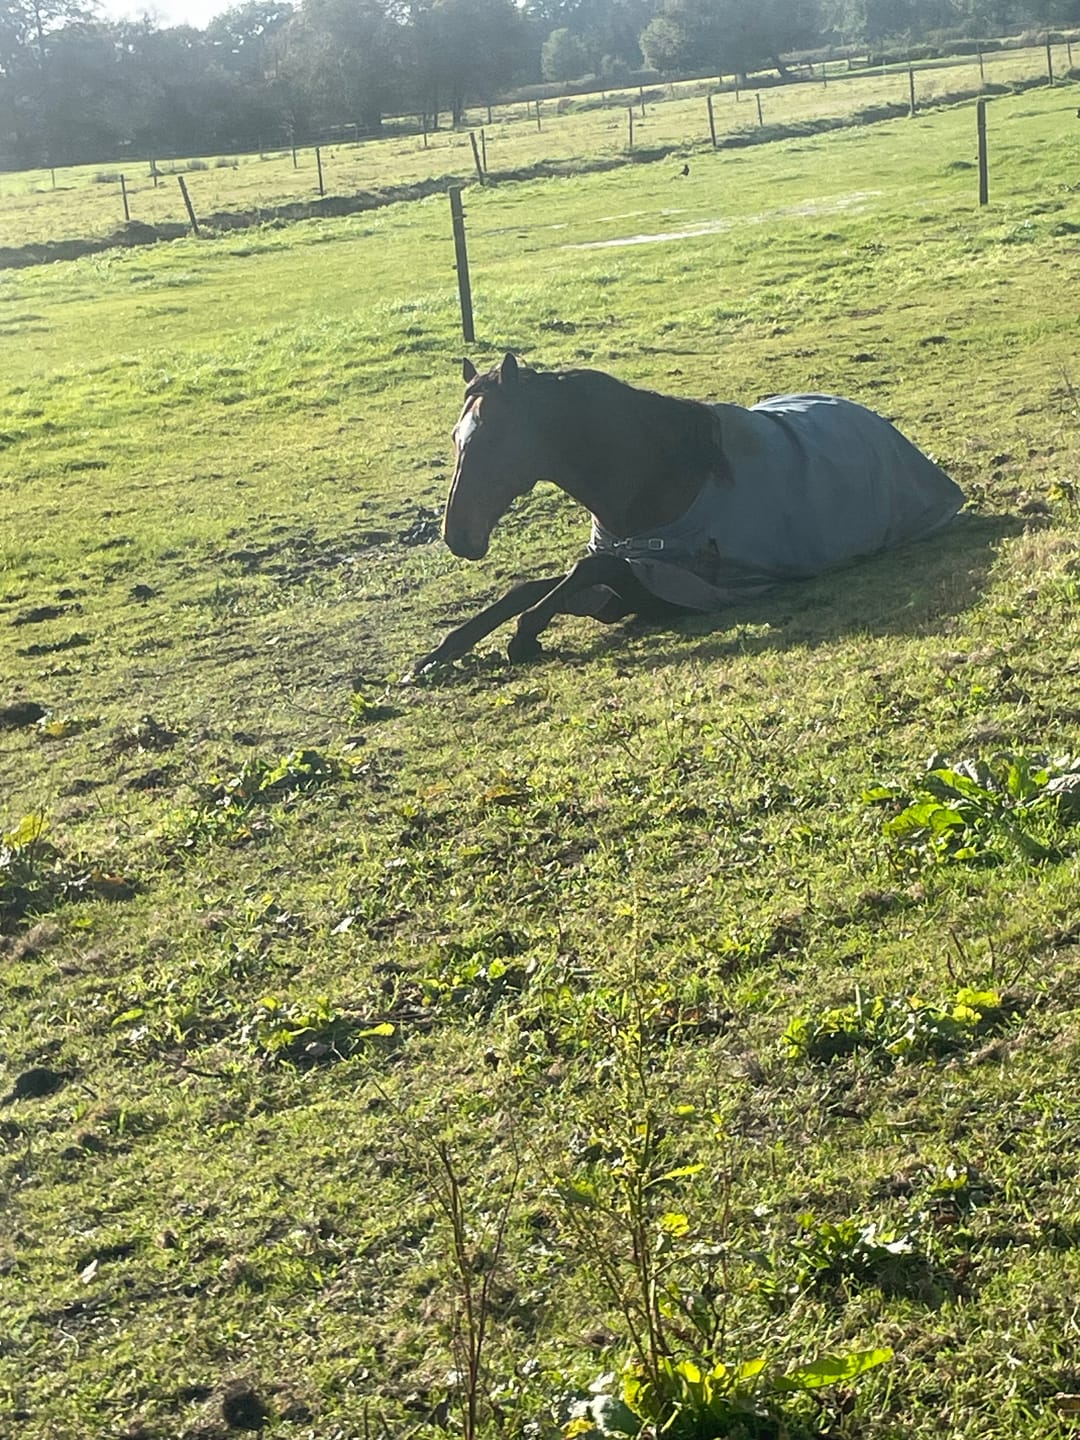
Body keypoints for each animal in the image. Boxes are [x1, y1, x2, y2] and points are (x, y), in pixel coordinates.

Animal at [410, 353, 964, 674]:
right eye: (456, 438)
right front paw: (439, 654)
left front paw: (524, 638)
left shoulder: (664, 586)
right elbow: (531, 586)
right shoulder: (619, 588)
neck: (661, 477)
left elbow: (585, 568)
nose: (458, 536)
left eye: (494, 441)